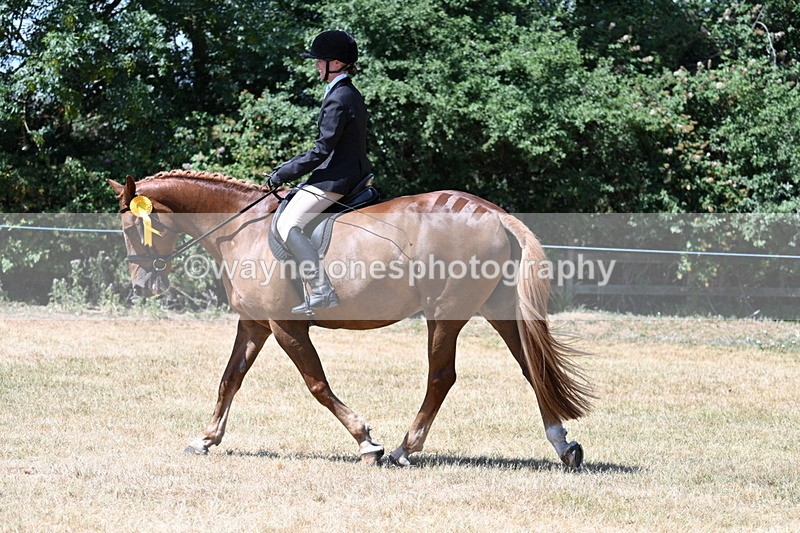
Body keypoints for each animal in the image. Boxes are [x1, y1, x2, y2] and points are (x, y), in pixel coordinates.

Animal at [108, 170, 592, 467]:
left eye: (132, 228)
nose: (140, 286)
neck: (239, 231)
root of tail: (495, 214)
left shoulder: (285, 326)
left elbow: (317, 385)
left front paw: (367, 441)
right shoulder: (254, 324)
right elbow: (230, 379)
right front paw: (205, 439)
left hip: (445, 314)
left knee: (442, 377)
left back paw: (403, 449)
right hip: (499, 310)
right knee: (531, 367)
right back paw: (563, 445)